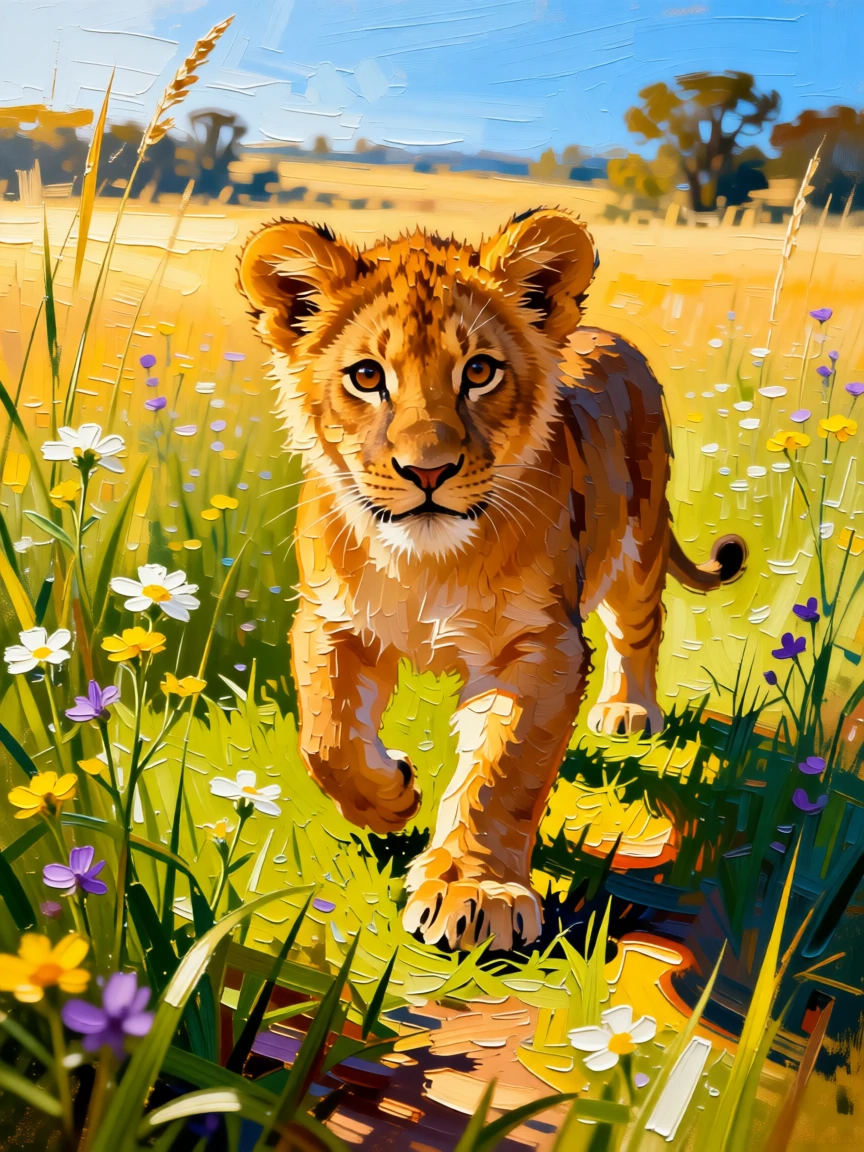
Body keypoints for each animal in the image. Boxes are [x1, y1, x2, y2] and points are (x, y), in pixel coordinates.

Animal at [238, 208, 744, 952]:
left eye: (479, 371)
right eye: (366, 376)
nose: (427, 471)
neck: (424, 562)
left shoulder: (541, 646)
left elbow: (502, 772)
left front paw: (474, 892)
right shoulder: (329, 621)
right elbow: (326, 738)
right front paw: (393, 795)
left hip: (638, 544)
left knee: (639, 629)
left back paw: (629, 710)